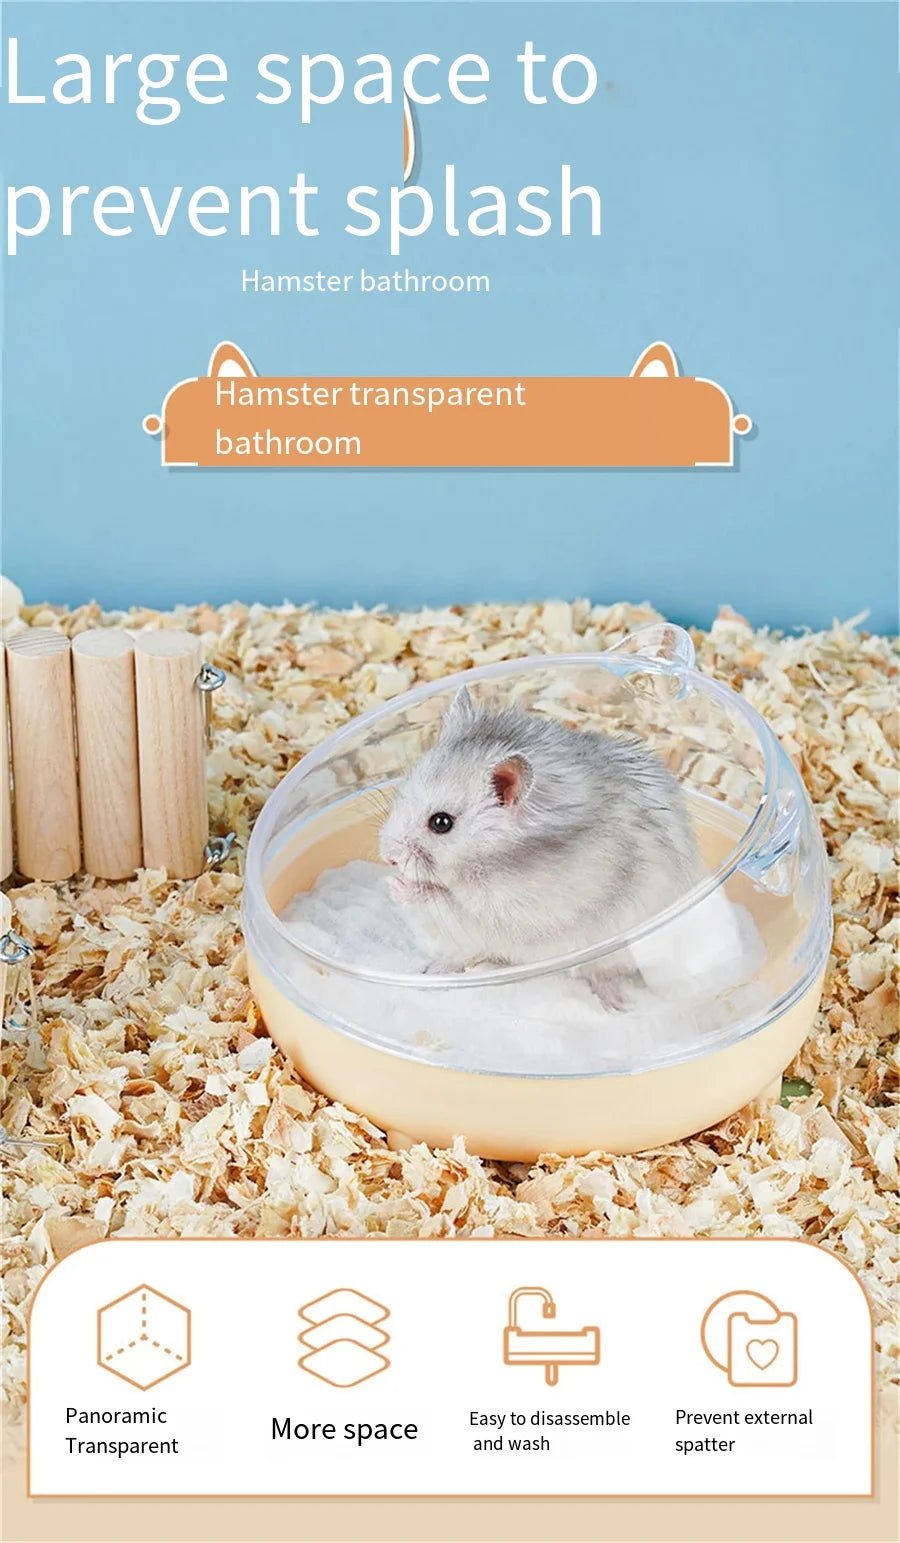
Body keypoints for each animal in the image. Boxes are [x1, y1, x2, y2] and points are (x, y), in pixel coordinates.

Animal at [378, 686, 702, 1001]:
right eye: (402, 793)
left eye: (441, 823)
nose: (387, 858)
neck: (494, 858)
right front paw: (392, 882)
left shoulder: (518, 912)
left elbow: (454, 905)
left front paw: (398, 885)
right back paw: (431, 972)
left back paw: (616, 1004)